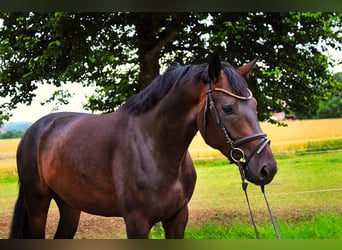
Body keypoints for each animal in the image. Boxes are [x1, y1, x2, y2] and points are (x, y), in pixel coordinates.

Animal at [8, 54, 278, 238]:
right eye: (228, 108)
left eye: (255, 105)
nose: (267, 168)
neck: (155, 148)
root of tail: (36, 129)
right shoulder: (137, 222)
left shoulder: (177, 218)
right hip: (38, 203)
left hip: (70, 205)